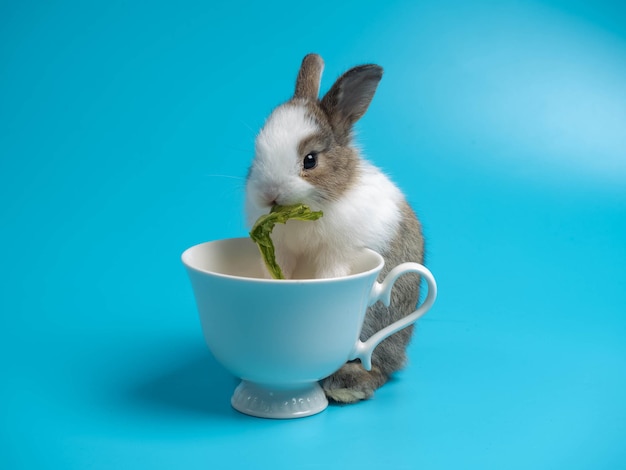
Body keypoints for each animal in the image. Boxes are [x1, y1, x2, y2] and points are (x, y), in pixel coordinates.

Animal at [244, 53, 424, 402]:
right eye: (256, 151)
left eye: (310, 160)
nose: (269, 193)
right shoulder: (280, 252)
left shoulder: (338, 254)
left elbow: (330, 273)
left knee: (377, 365)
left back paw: (346, 385)